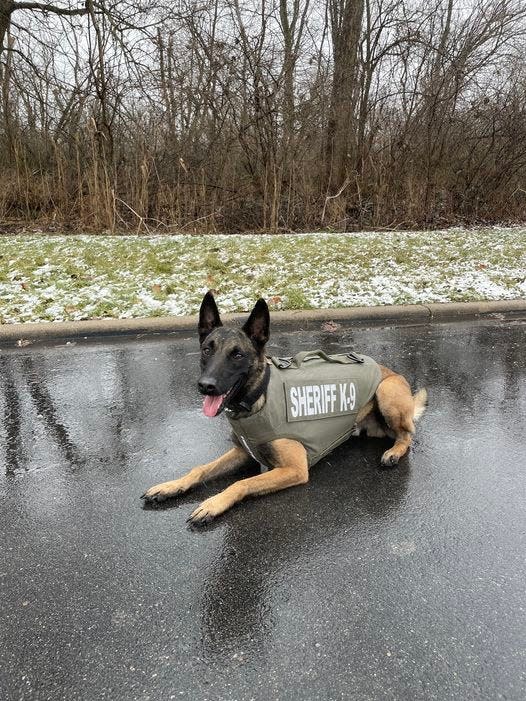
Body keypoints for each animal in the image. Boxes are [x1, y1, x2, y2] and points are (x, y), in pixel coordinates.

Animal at [142, 290, 432, 524]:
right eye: (206, 350)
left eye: (237, 354)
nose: (205, 386)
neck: (257, 401)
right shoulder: (243, 452)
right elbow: (200, 468)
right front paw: (172, 486)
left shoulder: (293, 469)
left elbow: (241, 483)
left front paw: (214, 503)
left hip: (386, 392)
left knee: (407, 435)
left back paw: (394, 452)